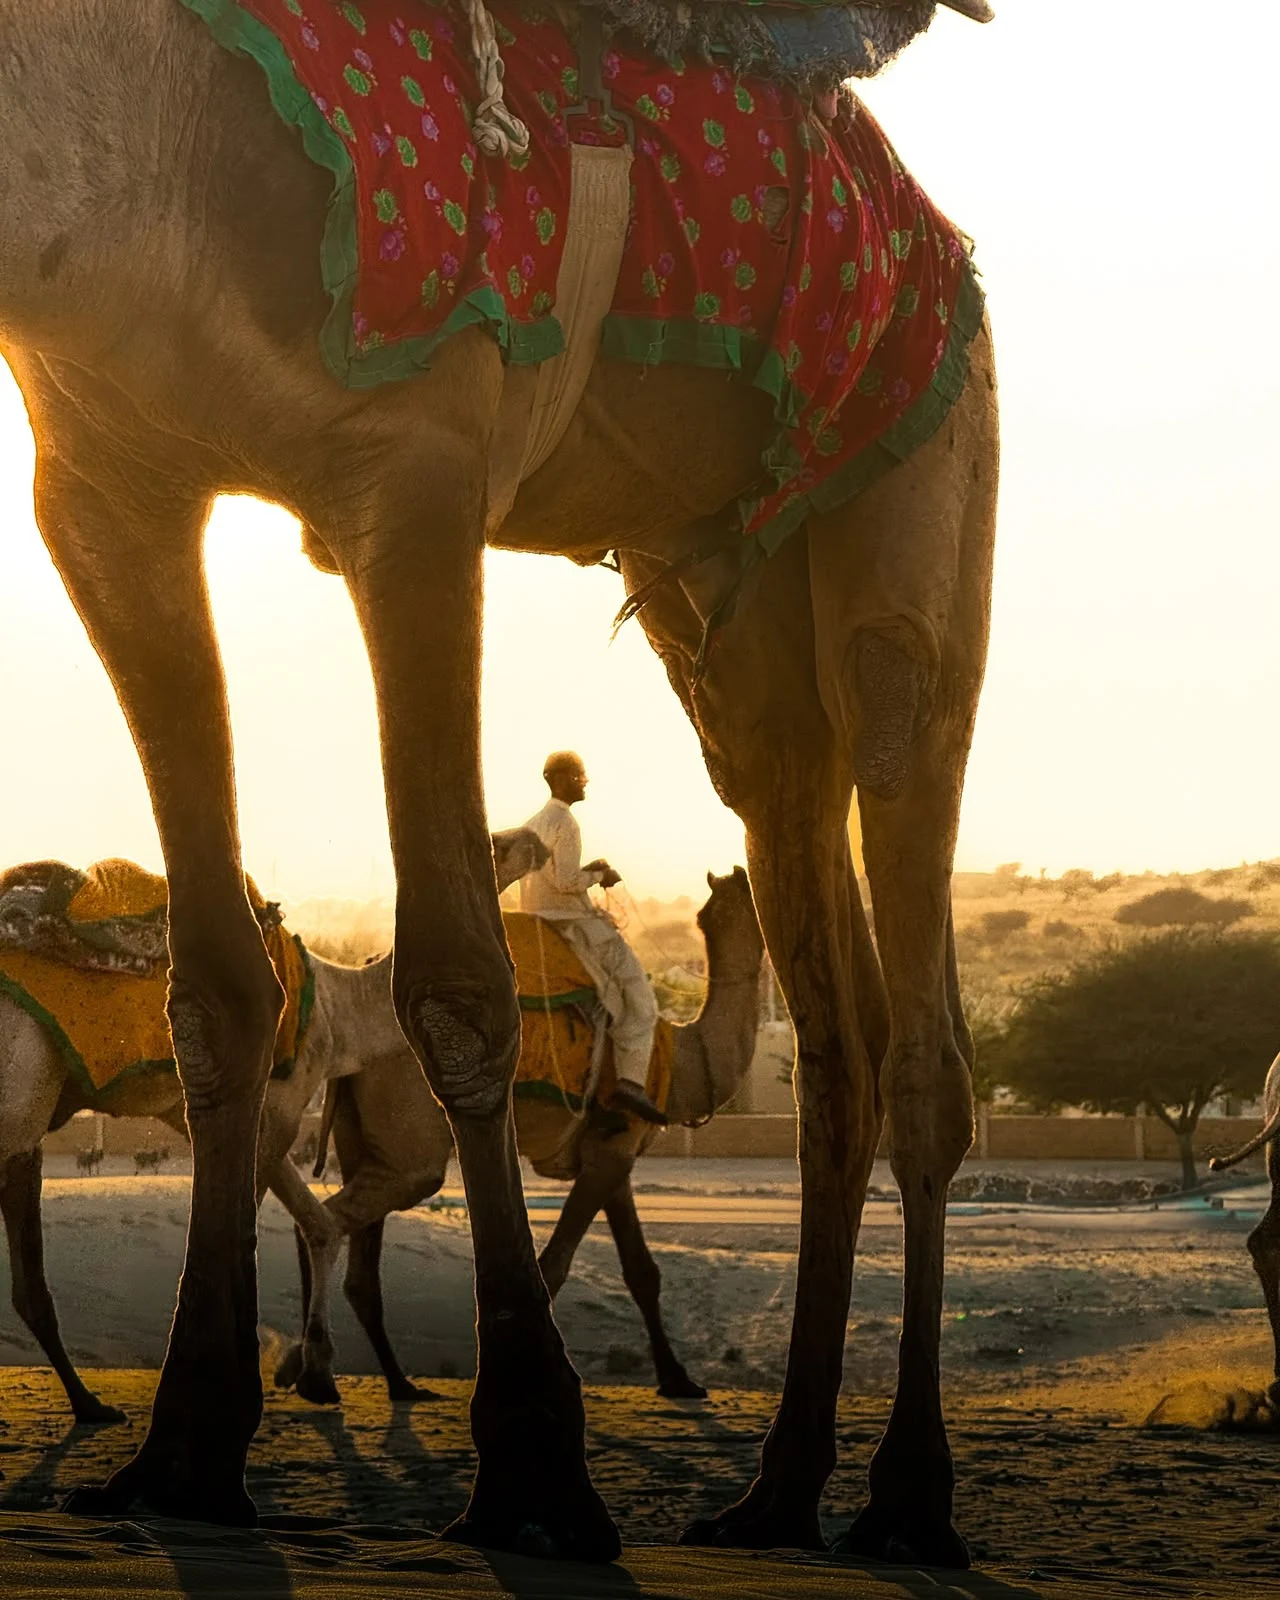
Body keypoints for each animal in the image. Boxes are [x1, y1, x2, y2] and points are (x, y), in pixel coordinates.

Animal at [0, 830, 544, 1427]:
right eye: (495, 845)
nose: (535, 842)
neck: (337, 1010)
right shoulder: (281, 1102)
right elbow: (251, 1232)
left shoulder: (246, 1115)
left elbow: (319, 1225)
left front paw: (315, 1373)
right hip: (22, 1092)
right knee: (29, 1279)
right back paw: (89, 1403)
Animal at [270, 866, 763, 1407]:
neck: (681, 1059)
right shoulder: (613, 1149)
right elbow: (556, 1265)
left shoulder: (614, 1152)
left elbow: (642, 1271)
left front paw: (678, 1378)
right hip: (409, 1149)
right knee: (337, 1220)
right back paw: (313, 1370)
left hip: (366, 1138)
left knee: (351, 1254)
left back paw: (389, 1381)